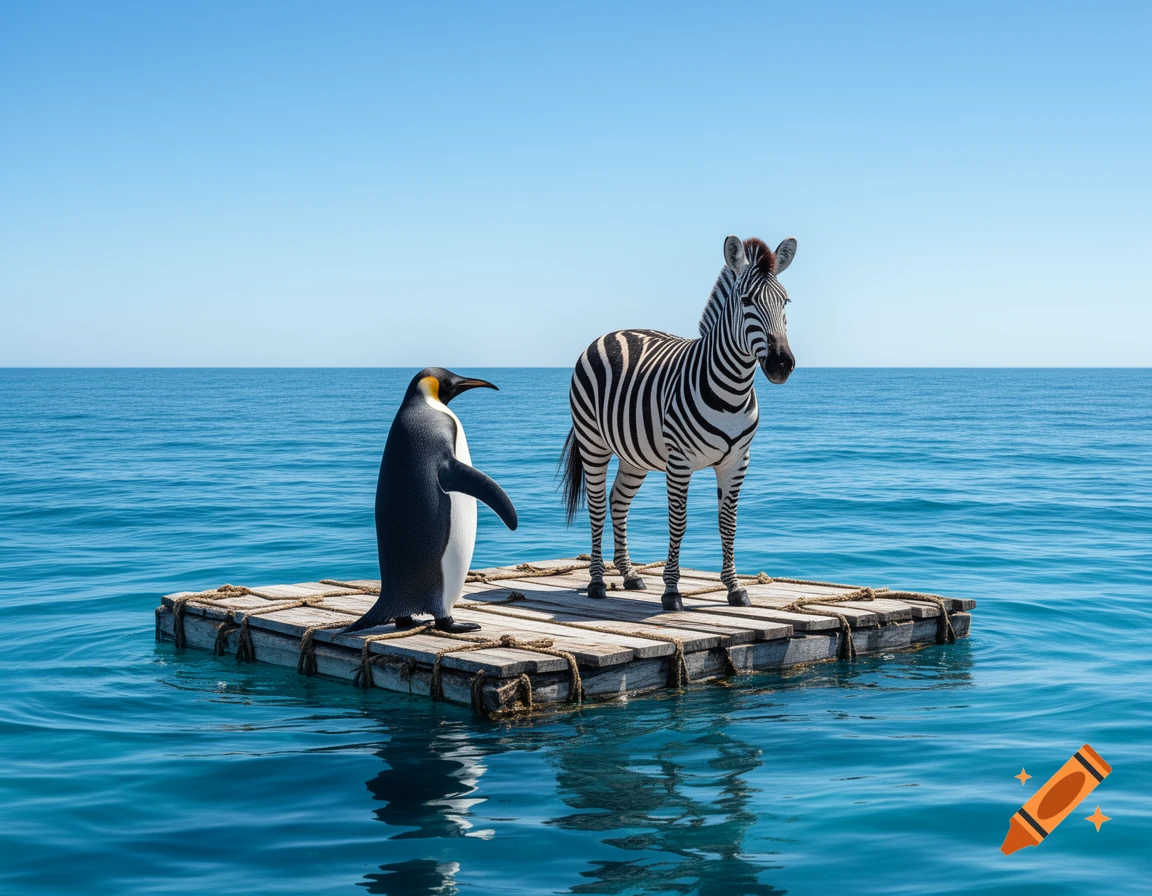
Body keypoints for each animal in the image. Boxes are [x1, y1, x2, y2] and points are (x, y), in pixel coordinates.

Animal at [560, 234, 797, 611]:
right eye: (746, 301)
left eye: (785, 301)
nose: (781, 364)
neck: (733, 389)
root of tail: (613, 332)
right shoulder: (680, 460)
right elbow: (679, 522)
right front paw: (672, 592)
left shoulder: (737, 460)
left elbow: (728, 523)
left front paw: (734, 588)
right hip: (593, 442)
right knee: (597, 505)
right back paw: (597, 582)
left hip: (633, 454)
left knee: (617, 501)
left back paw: (629, 574)